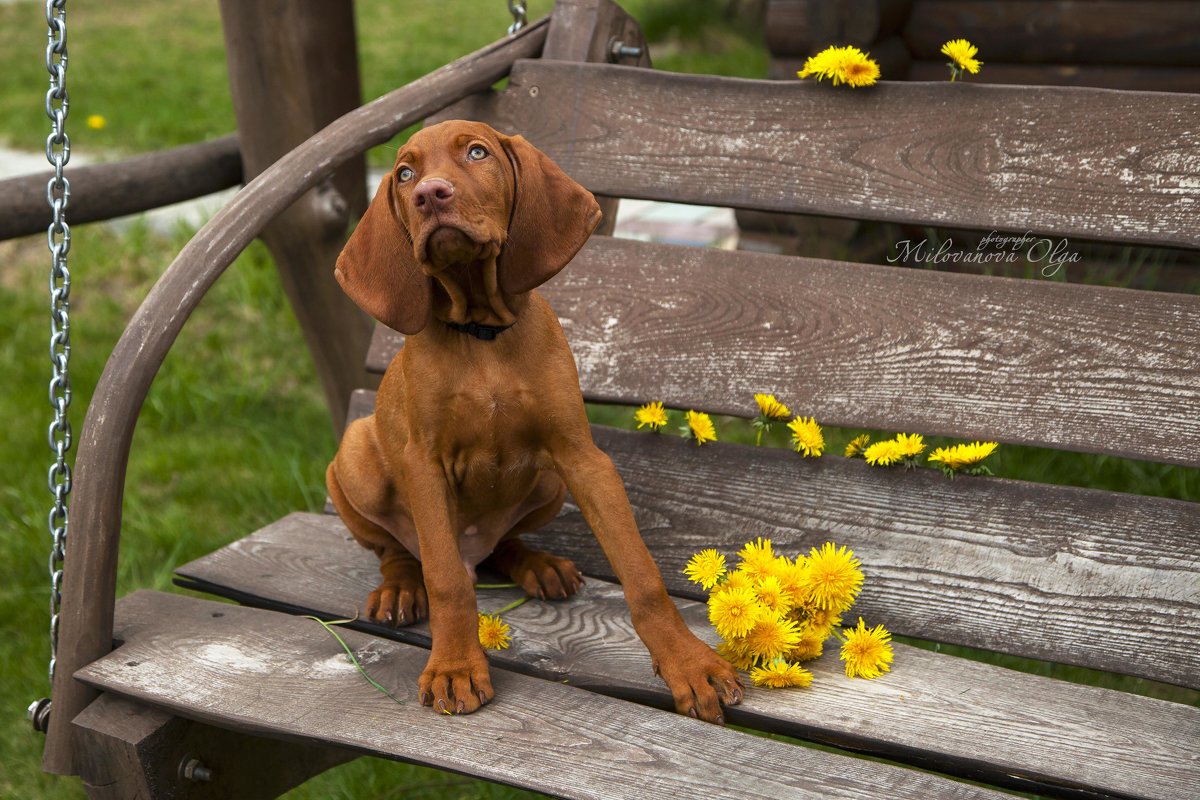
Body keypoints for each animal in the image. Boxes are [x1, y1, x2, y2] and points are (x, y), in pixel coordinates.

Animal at [328, 120, 739, 724]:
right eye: (403, 174)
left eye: (477, 152)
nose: (429, 194)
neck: (482, 335)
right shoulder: (422, 464)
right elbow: (445, 580)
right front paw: (454, 667)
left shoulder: (582, 458)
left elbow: (641, 574)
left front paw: (688, 663)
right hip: (357, 457)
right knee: (404, 553)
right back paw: (400, 588)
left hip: (548, 483)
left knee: (503, 544)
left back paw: (538, 564)